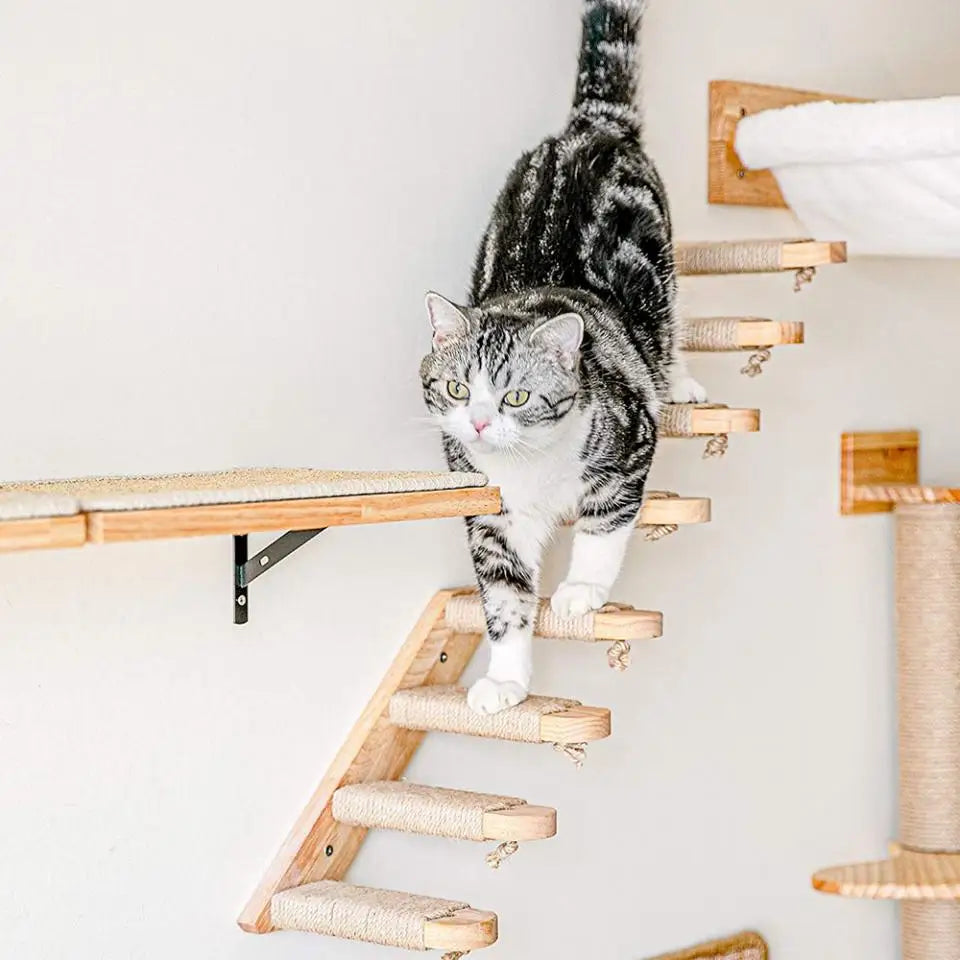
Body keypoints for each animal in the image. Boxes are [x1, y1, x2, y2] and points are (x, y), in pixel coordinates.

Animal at [420, 0, 704, 712]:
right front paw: (504, 680)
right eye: (458, 390)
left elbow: (605, 524)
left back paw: (683, 380)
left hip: (662, 268)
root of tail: (587, 129)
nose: (479, 424)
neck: (531, 472)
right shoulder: (491, 516)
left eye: (517, 395)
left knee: (672, 319)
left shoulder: (631, 444)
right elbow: (504, 598)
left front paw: (580, 594)